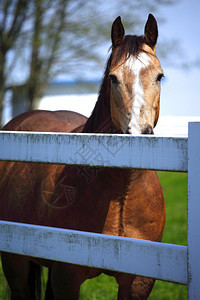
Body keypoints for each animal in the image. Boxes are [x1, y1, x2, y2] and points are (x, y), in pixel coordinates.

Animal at [0, 14, 166, 300]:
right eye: (113, 78)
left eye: (159, 76)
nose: (138, 133)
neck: (121, 194)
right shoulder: (66, 278)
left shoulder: (138, 282)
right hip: (15, 264)